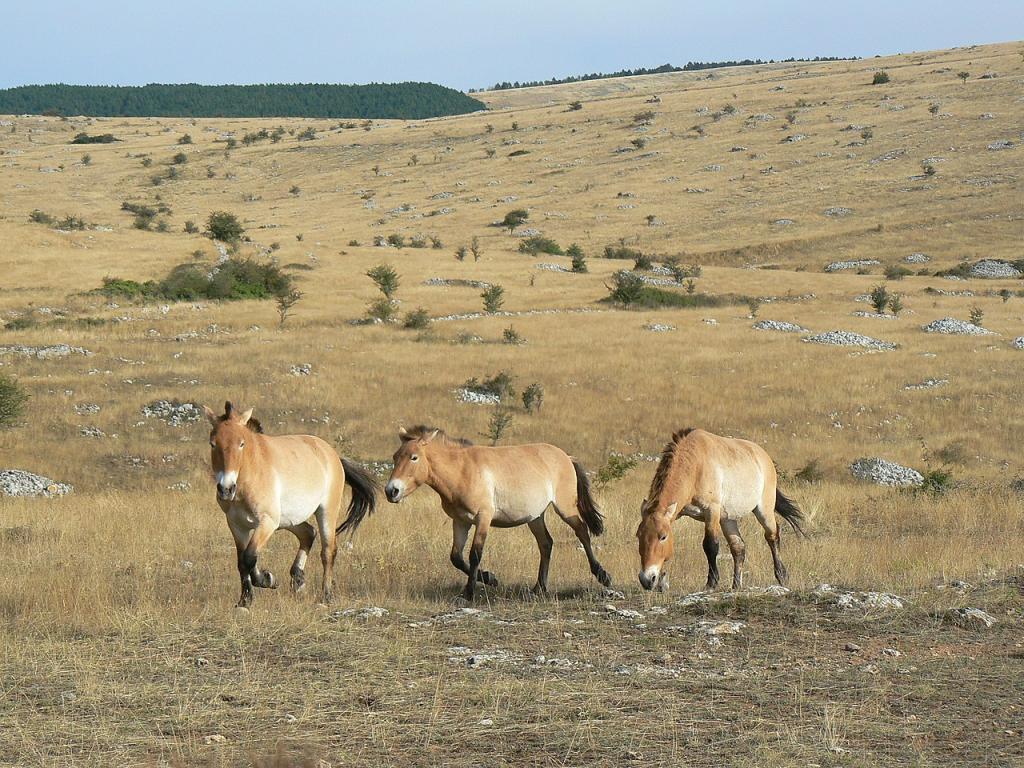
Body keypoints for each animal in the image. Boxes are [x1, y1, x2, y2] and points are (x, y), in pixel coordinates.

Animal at [204, 401, 378, 607]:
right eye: (213, 444)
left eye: (241, 444)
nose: (226, 489)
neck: (252, 472)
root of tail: (333, 454)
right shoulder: (237, 525)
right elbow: (241, 562)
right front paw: (245, 601)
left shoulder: (267, 522)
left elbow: (249, 557)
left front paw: (268, 579)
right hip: (288, 520)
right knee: (309, 533)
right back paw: (298, 580)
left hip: (325, 512)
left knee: (328, 551)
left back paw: (326, 596)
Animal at [384, 425, 612, 600]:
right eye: (395, 456)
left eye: (414, 457)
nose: (391, 491)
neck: (462, 471)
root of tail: (565, 456)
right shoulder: (460, 521)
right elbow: (456, 557)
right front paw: (490, 578)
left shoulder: (483, 518)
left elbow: (475, 553)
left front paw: (469, 592)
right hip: (535, 517)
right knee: (546, 544)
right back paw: (538, 588)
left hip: (565, 508)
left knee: (582, 532)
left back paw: (603, 576)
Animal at [636, 428, 804, 592]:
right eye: (638, 535)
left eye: (663, 537)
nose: (646, 580)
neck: (696, 465)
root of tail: (764, 457)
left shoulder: (711, 512)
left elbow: (710, 545)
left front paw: (711, 582)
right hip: (728, 519)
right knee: (738, 548)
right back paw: (736, 585)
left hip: (763, 511)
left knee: (772, 536)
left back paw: (782, 575)